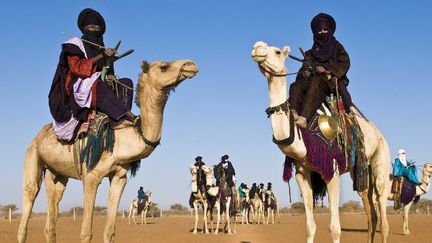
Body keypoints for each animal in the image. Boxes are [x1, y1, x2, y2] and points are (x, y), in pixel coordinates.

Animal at [16, 59, 198, 243]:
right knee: (30, 195)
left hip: (57, 173)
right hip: (32, 154)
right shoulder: (90, 177)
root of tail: (38, 136)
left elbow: (110, 232)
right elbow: (86, 233)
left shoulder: (119, 177)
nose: (190, 64)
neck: (122, 140)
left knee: (53, 208)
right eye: (164, 67)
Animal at [251, 41, 390, 243]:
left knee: (382, 209)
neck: (302, 138)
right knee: (370, 210)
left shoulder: (332, 171)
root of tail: (379, 134)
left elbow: (335, 228)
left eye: (277, 51)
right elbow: (310, 226)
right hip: (362, 170)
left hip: (382, 158)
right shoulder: (302, 173)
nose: (257, 47)